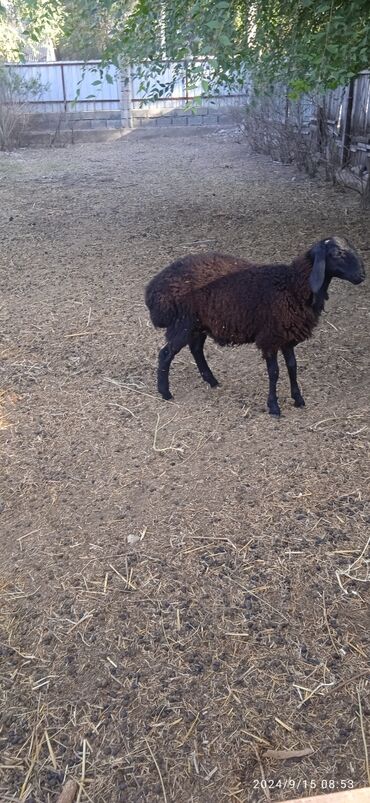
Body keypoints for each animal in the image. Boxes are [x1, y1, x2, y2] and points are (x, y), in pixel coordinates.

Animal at [144, 237, 364, 414]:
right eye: (337, 253)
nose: (362, 276)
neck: (292, 285)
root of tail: (154, 288)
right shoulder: (270, 337)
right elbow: (274, 372)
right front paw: (274, 407)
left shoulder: (287, 336)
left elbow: (292, 367)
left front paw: (298, 399)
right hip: (184, 323)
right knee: (165, 354)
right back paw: (165, 392)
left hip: (198, 323)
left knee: (196, 349)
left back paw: (212, 381)